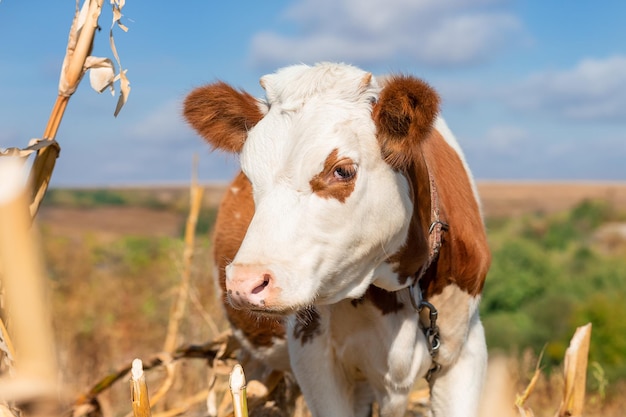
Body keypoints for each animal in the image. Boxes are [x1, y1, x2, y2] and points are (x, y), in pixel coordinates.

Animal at [183, 62, 490, 416]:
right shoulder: (313, 355)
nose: (245, 283)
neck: (397, 283)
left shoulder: (466, 351)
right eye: (249, 176)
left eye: (341, 170)